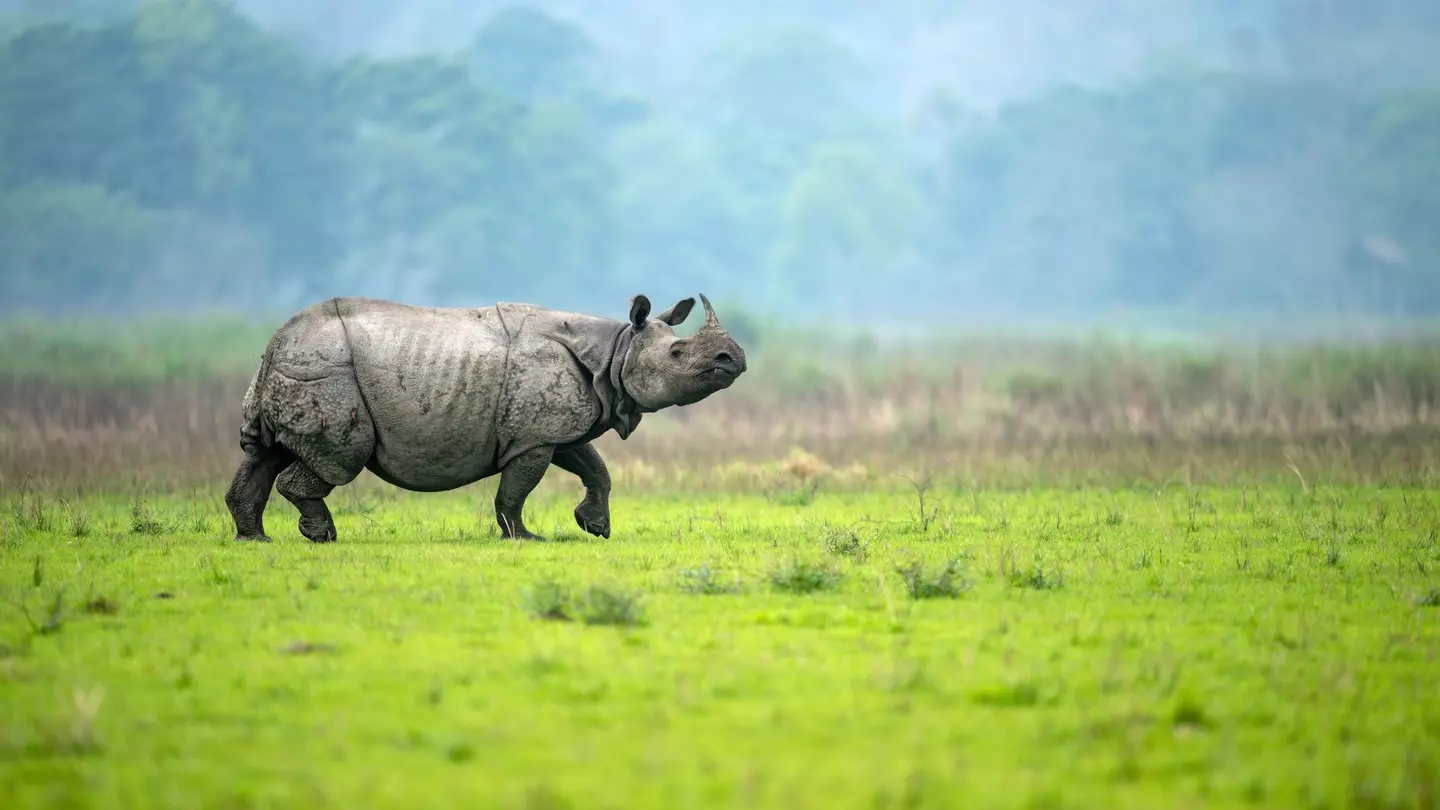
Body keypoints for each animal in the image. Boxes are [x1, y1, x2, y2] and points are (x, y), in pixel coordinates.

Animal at [222, 293, 746, 543]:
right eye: (678, 353)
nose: (733, 360)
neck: (615, 351)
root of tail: (274, 343)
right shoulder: (533, 437)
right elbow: (516, 490)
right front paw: (526, 538)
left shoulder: (553, 427)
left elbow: (595, 467)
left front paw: (594, 527)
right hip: (327, 372)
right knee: (339, 459)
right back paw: (322, 537)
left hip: (296, 367)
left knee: (266, 453)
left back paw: (256, 540)